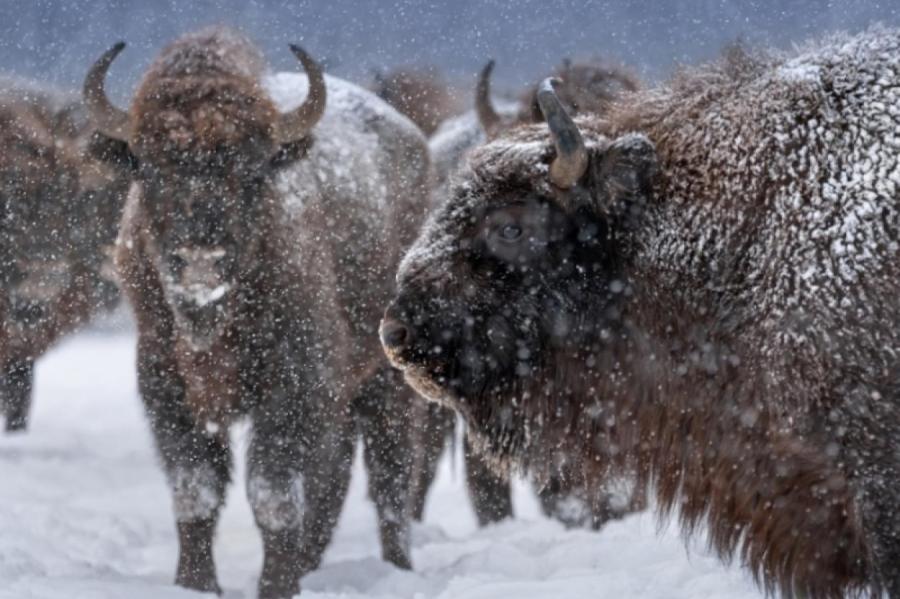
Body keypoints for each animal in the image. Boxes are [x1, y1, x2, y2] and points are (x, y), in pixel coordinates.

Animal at [86, 27, 430, 599]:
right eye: (150, 168)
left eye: (250, 172)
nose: (200, 260)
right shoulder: (166, 387)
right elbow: (196, 489)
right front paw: (195, 584)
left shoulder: (293, 389)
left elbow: (273, 492)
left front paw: (275, 586)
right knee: (336, 479)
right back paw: (314, 565)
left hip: (389, 380)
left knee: (391, 475)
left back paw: (397, 566)